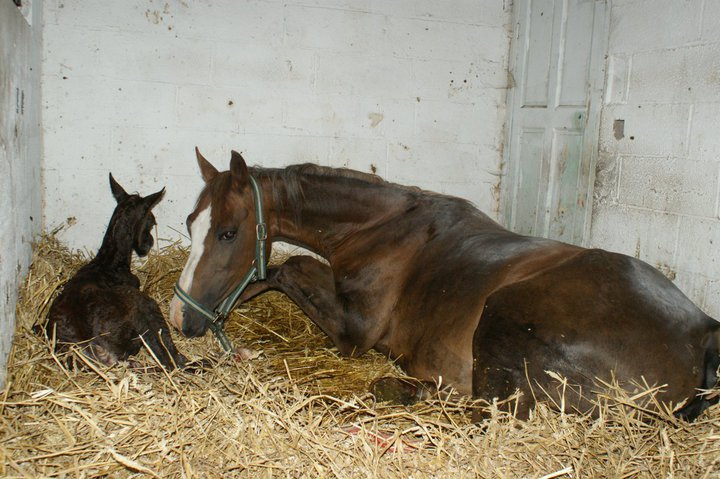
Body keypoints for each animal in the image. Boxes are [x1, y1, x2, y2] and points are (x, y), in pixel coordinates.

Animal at [42, 174, 187, 370]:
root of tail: (89, 347)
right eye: (151, 220)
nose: (148, 243)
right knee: (168, 357)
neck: (109, 261)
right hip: (142, 306)